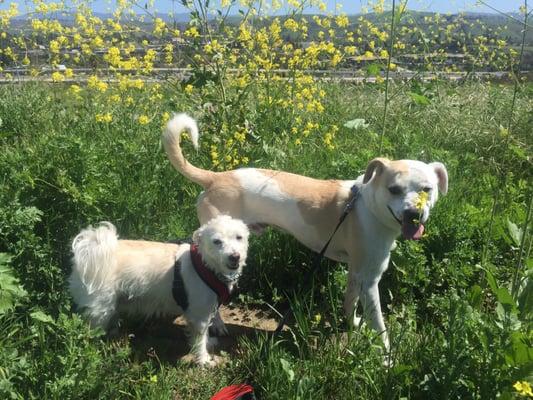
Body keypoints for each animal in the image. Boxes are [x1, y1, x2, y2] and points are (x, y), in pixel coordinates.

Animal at [68, 216, 249, 366]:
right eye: (216, 241)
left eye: (239, 237)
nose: (235, 256)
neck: (205, 264)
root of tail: (89, 249)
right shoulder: (199, 317)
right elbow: (199, 341)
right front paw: (203, 360)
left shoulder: (205, 312)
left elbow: (205, 336)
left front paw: (209, 342)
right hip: (99, 310)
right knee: (91, 334)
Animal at [161, 112, 444, 350]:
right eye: (394, 189)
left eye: (427, 189)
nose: (414, 214)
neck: (368, 205)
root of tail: (215, 178)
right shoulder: (370, 278)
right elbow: (380, 326)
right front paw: (386, 359)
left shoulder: (357, 272)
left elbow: (349, 302)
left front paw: (350, 325)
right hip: (221, 252)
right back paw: (217, 323)